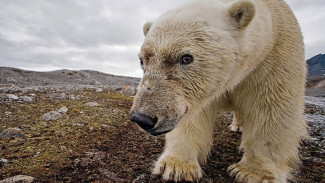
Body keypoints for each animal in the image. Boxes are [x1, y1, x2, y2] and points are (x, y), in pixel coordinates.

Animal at [130, 0, 306, 182]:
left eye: (186, 58)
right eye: (142, 60)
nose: (142, 118)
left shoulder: (273, 59)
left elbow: (272, 109)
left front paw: (253, 173)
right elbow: (194, 116)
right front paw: (176, 167)